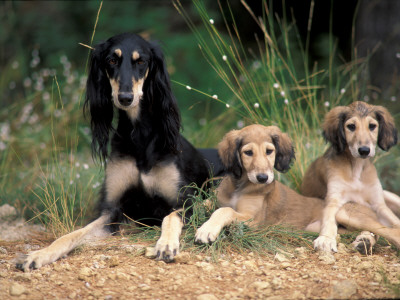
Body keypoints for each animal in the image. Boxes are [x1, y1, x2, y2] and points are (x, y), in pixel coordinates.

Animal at [15, 33, 222, 272]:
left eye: (141, 61)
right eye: (112, 60)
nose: (125, 98)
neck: (140, 136)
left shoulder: (186, 202)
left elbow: (169, 217)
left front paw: (166, 244)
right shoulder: (112, 211)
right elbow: (72, 234)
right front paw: (40, 254)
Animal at [195, 124, 326, 244]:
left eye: (269, 151)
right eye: (248, 152)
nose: (263, 178)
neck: (239, 187)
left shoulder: (253, 221)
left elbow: (226, 210)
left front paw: (207, 230)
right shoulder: (216, 200)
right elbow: (200, 204)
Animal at [302, 101, 400, 253]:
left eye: (372, 126)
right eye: (351, 126)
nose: (364, 150)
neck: (356, 168)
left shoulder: (379, 204)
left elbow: (395, 222)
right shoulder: (333, 199)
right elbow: (329, 220)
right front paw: (326, 239)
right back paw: (365, 241)